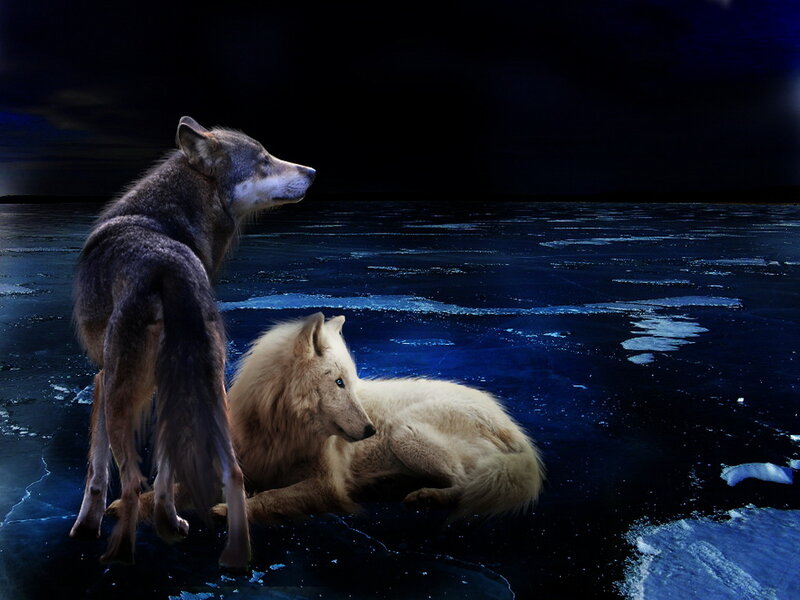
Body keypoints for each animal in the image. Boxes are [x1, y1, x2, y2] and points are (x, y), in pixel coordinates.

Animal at [69, 116, 315, 571]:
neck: (162, 221)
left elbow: (97, 468)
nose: (312, 172)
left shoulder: (100, 378)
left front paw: (86, 527)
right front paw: (170, 522)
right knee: (232, 473)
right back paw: (236, 557)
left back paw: (120, 556)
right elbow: (167, 468)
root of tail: (169, 268)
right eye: (264, 160)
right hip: (211, 387)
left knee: (131, 483)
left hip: (122, 395)